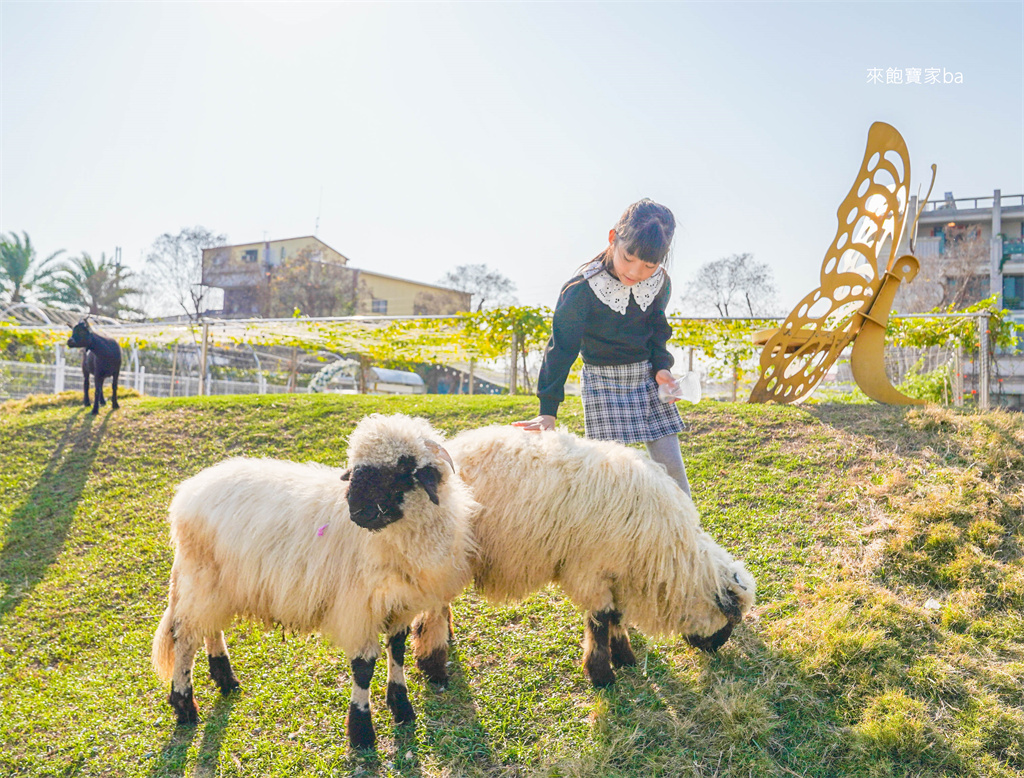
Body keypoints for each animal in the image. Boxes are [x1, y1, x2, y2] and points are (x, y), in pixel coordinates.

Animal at [149, 413, 477, 749]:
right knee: (185, 639)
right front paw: (361, 731)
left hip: (218, 584)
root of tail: (189, 490)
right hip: (200, 578)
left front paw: (401, 707)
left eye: (402, 468)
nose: (358, 511)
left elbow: (396, 651)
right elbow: (363, 668)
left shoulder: (401, 605)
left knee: (210, 628)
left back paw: (225, 679)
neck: (396, 536)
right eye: (355, 469)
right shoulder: (359, 608)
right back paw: (184, 705)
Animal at [411, 425, 757, 687]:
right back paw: (434, 667)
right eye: (730, 619)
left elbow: (616, 615)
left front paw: (625, 657)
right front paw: (603, 674)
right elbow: (601, 619)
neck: (666, 555)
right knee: (433, 609)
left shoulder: (614, 571)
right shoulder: (590, 570)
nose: (713, 650)